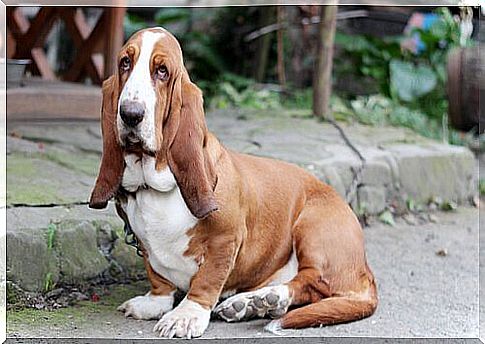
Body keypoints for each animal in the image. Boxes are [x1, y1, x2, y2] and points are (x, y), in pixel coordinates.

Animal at [90, 26, 378, 338]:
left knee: (313, 281)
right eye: (125, 63)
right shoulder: (143, 243)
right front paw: (153, 302)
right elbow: (157, 277)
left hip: (312, 226)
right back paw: (251, 304)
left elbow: (207, 279)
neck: (155, 186)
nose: (130, 114)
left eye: (162, 71)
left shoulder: (227, 239)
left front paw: (186, 316)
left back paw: (264, 300)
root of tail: (365, 273)